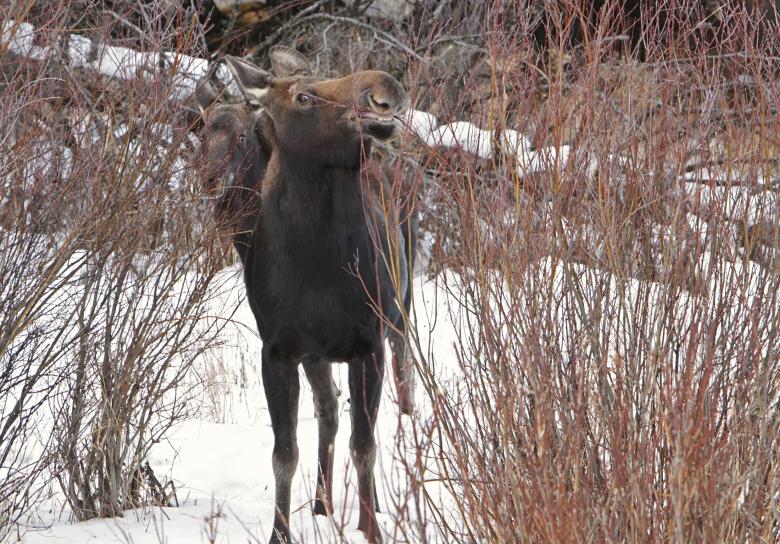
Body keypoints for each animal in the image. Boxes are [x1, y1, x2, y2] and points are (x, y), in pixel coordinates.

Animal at [219, 47, 417, 544]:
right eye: (303, 96)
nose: (385, 90)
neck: (317, 261)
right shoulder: (280, 350)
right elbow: (284, 454)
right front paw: (280, 532)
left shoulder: (368, 344)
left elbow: (364, 446)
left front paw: (372, 529)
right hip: (319, 356)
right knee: (328, 412)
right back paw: (322, 502)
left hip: (400, 317)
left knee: (401, 392)